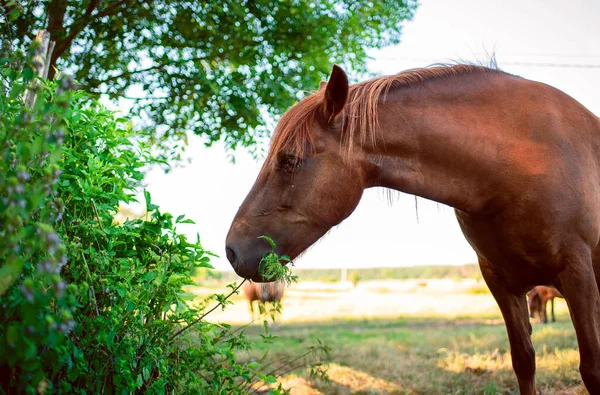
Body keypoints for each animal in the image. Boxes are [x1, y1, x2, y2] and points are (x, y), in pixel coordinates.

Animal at [224, 63, 600, 394]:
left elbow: (591, 368)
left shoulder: (577, 274)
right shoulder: (501, 282)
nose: (231, 250)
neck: (520, 159)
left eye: (289, 160)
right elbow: (524, 362)